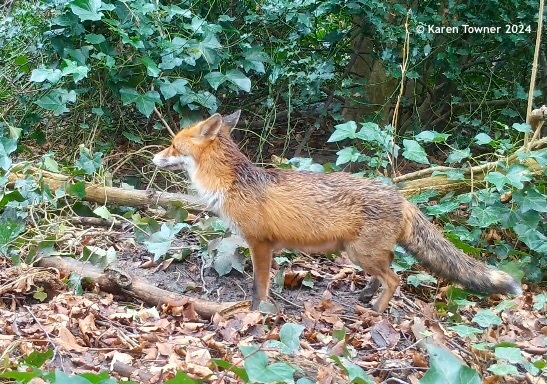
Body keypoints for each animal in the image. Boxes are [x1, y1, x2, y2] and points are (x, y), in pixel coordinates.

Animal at [153, 110, 524, 312]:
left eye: (172, 145)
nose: (154, 157)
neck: (231, 183)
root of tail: (400, 196)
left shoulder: (261, 244)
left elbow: (259, 286)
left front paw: (257, 311)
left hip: (360, 253)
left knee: (396, 278)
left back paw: (376, 309)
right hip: (362, 252)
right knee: (388, 270)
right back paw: (366, 294)